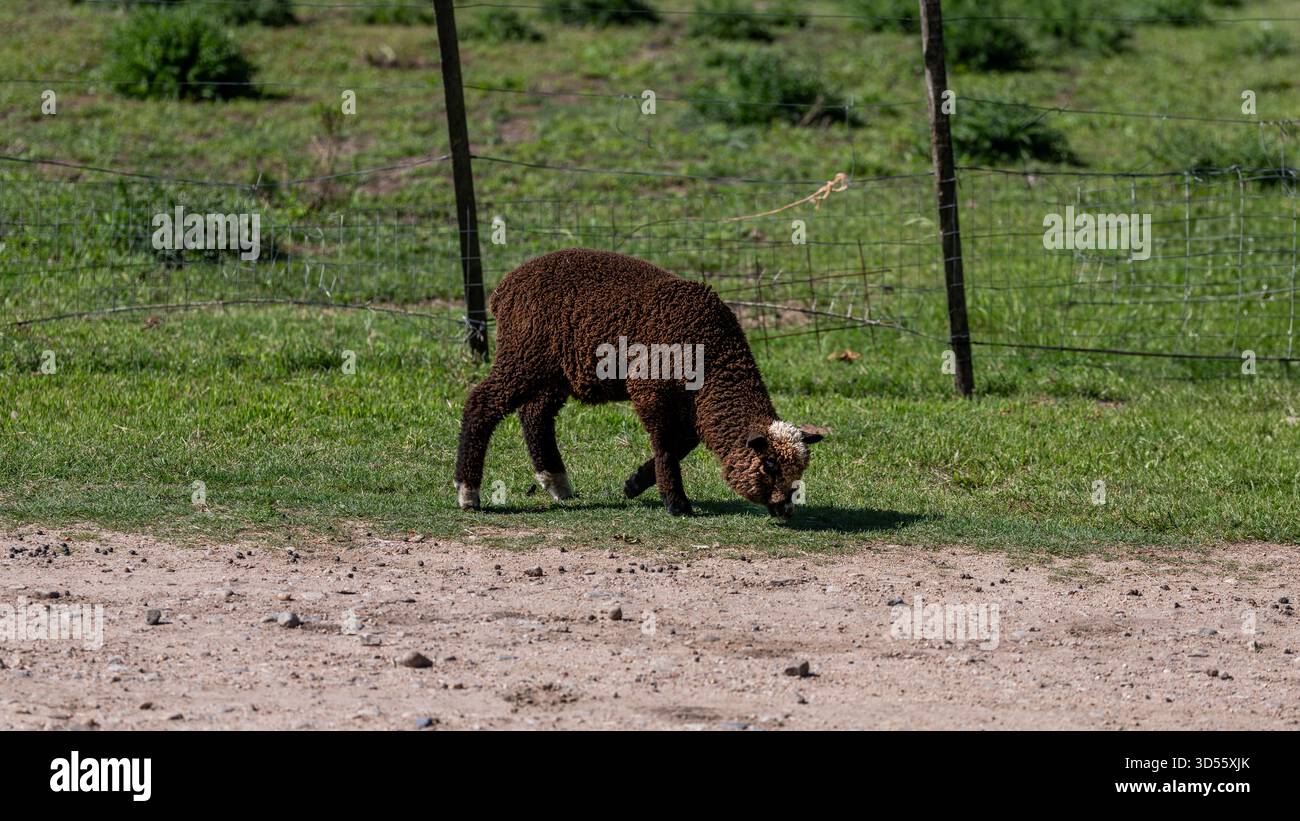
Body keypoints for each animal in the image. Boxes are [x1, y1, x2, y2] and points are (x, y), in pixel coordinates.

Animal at [454, 248, 827, 518]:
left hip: (552, 369)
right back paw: (468, 492)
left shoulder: (692, 405)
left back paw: (556, 482)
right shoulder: (650, 390)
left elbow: (684, 442)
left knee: (535, 415)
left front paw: (634, 484)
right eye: (769, 465)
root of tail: (505, 288)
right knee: (482, 403)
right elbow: (665, 445)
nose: (786, 509)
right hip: (523, 353)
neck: (715, 357)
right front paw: (676, 504)